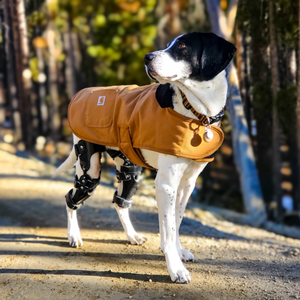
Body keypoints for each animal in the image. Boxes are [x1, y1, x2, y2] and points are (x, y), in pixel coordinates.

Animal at [54, 32, 237, 284]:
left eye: (182, 46)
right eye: (170, 44)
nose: (146, 57)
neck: (197, 112)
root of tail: (81, 93)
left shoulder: (186, 184)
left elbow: (175, 222)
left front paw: (177, 251)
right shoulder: (166, 184)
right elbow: (169, 228)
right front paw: (176, 268)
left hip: (130, 170)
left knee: (120, 202)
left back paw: (132, 235)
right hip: (89, 170)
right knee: (70, 198)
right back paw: (74, 235)